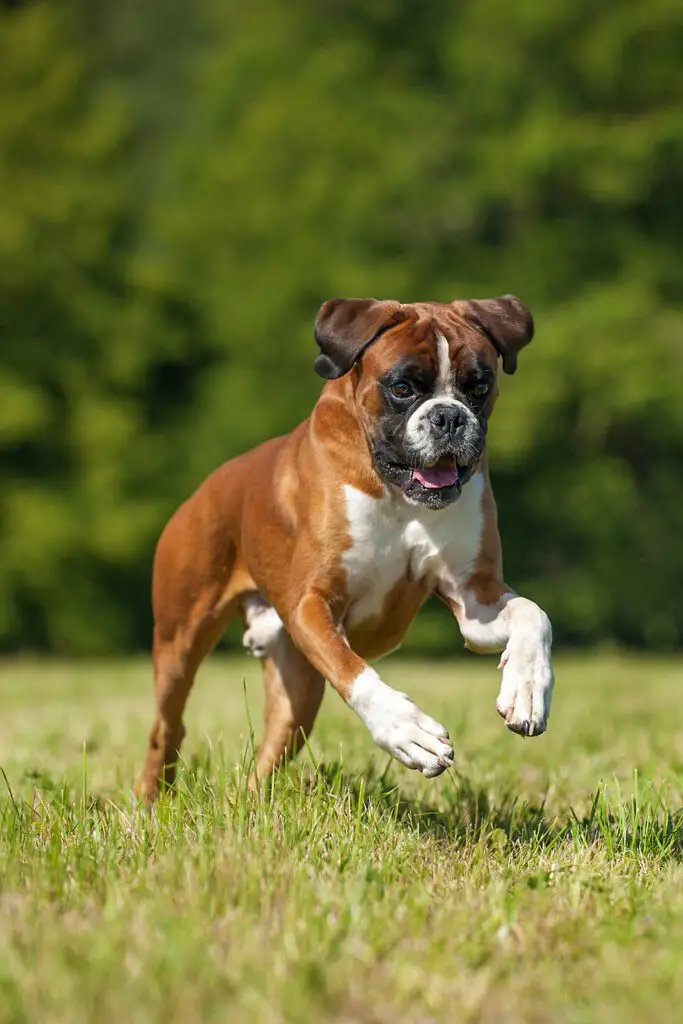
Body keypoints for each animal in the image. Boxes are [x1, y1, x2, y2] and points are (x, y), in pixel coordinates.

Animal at [139, 294, 557, 798]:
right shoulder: (312, 603)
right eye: (402, 387)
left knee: (267, 756)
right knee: (167, 727)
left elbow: (534, 614)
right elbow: (354, 672)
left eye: (479, 386)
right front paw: (406, 729)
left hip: (297, 697)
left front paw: (527, 689)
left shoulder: (476, 601)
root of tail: (204, 489)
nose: (449, 417)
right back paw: (149, 802)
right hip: (180, 643)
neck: (397, 494)